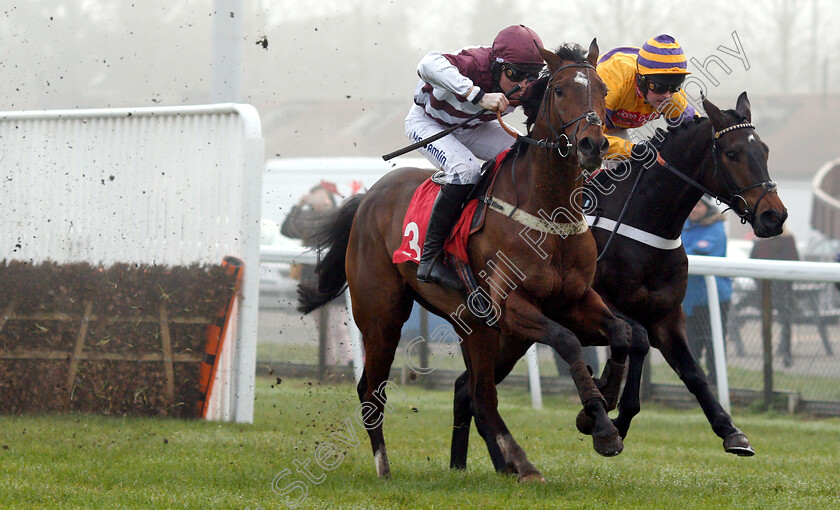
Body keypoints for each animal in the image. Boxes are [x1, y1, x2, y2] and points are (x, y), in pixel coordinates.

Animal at [298, 40, 632, 482]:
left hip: (473, 327)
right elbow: (566, 341)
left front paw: (603, 405)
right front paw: (602, 427)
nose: (594, 145)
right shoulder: (511, 306)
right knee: (376, 391)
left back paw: (504, 463)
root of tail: (367, 197)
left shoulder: (574, 300)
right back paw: (389, 467)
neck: (548, 211)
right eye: (560, 90)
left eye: (603, 90)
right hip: (383, 316)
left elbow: (623, 332)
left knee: (478, 394)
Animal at [450, 92, 784, 470]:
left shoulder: (667, 318)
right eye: (732, 154)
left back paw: (469, 465)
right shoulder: (591, 303)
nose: (774, 215)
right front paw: (608, 416)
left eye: (765, 151)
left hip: (512, 337)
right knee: (473, 390)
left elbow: (693, 372)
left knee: (465, 389)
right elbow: (636, 340)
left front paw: (730, 430)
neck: (644, 224)